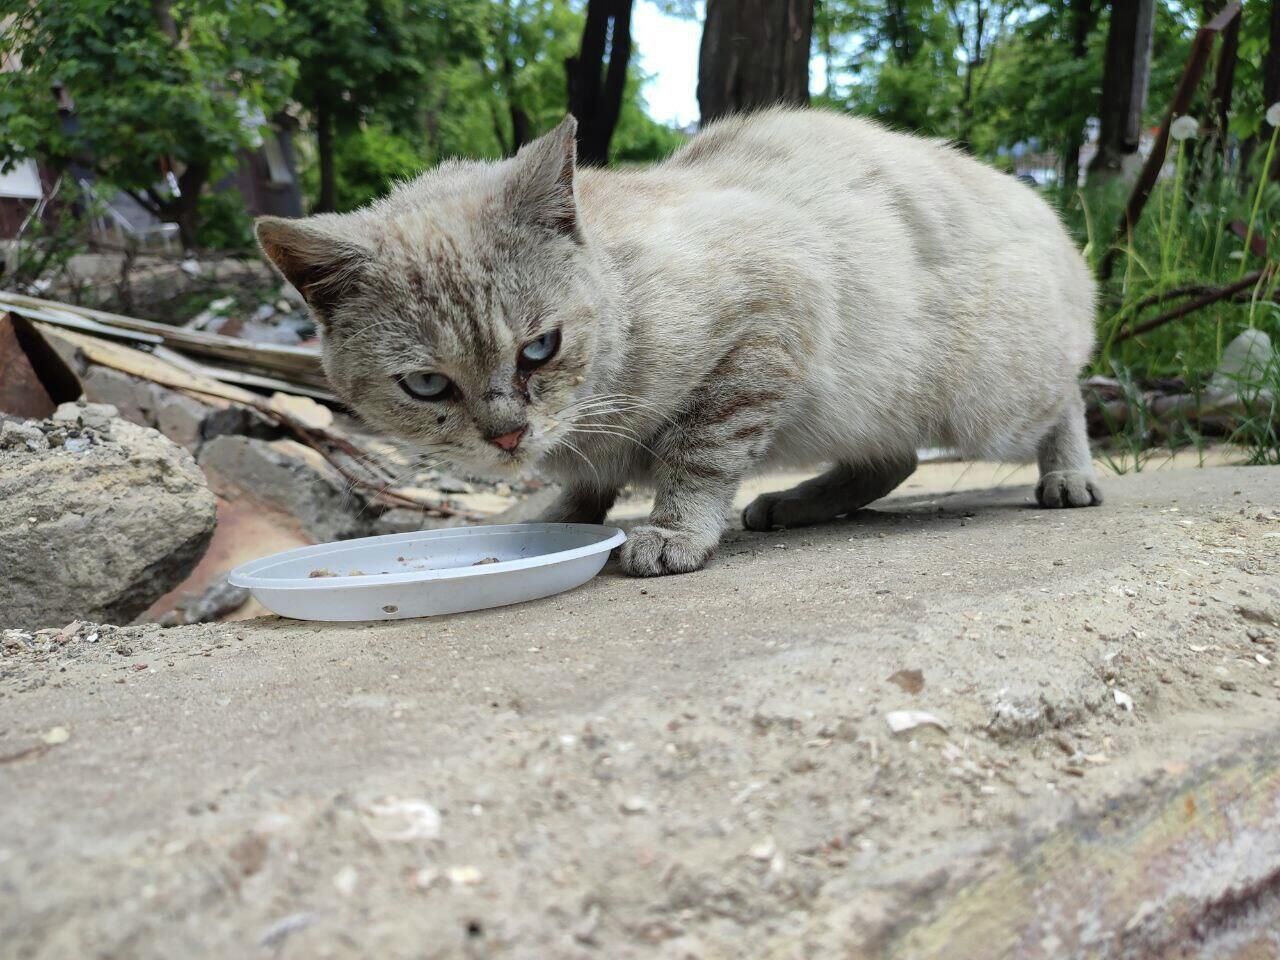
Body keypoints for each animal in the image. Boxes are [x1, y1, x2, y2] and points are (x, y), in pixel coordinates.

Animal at [257, 110, 1100, 578]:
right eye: (428, 385)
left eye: (540, 349)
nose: (506, 436)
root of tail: (1042, 204)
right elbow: (587, 484)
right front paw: (558, 516)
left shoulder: (766, 324)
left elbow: (696, 456)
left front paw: (670, 533)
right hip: (877, 402)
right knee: (889, 462)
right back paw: (796, 504)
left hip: (988, 398)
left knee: (1068, 398)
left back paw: (1070, 477)